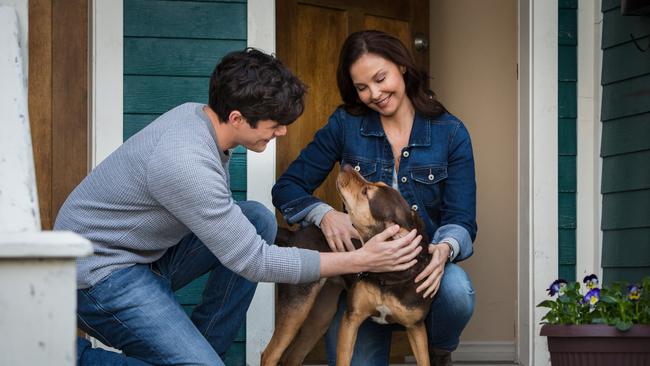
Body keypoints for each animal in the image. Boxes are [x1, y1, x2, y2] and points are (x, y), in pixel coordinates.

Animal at [260, 166, 432, 366]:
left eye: (366, 192)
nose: (347, 166)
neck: (388, 276)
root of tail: (294, 235)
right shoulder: (351, 318)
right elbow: (343, 359)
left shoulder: (416, 328)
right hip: (298, 306)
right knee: (270, 354)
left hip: (321, 316)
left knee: (292, 357)